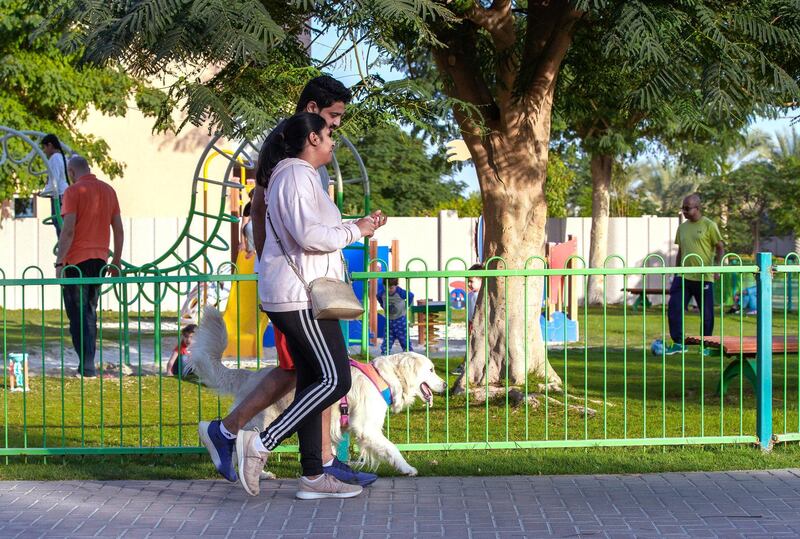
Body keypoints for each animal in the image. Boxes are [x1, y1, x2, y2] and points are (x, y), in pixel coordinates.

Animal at [190, 308, 446, 476]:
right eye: (432, 370)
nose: (444, 385)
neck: (383, 377)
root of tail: (249, 375)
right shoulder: (366, 428)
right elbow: (392, 448)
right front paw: (408, 468)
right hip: (260, 421)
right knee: (241, 445)